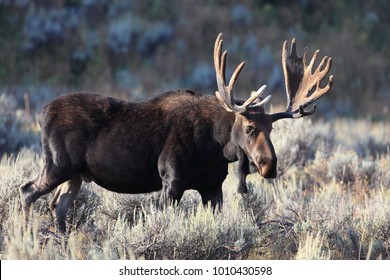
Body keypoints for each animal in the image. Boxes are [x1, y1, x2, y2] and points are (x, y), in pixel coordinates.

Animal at [19, 34, 334, 232]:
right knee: (27, 190)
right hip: (58, 163)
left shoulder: (212, 186)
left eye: (272, 128)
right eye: (250, 127)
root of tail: (42, 113)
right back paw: (26, 236)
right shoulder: (171, 179)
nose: (270, 166)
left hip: (75, 174)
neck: (217, 146)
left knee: (57, 206)